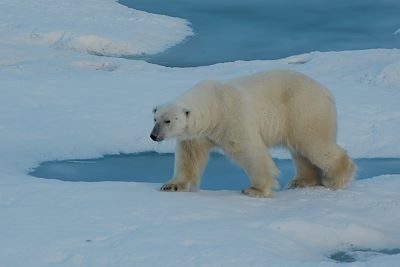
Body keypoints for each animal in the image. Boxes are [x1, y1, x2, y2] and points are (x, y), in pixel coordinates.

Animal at [152, 70, 354, 198]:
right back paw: (301, 181)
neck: (213, 104)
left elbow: (249, 150)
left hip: (303, 110)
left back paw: (335, 178)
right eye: (155, 118)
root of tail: (327, 92)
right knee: (301, 150)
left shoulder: (231, 117)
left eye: (167, 121)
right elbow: (190, 156)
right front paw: (172, 185)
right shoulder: (198, 134)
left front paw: (256, 189)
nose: (153, 136)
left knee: (313, 143)